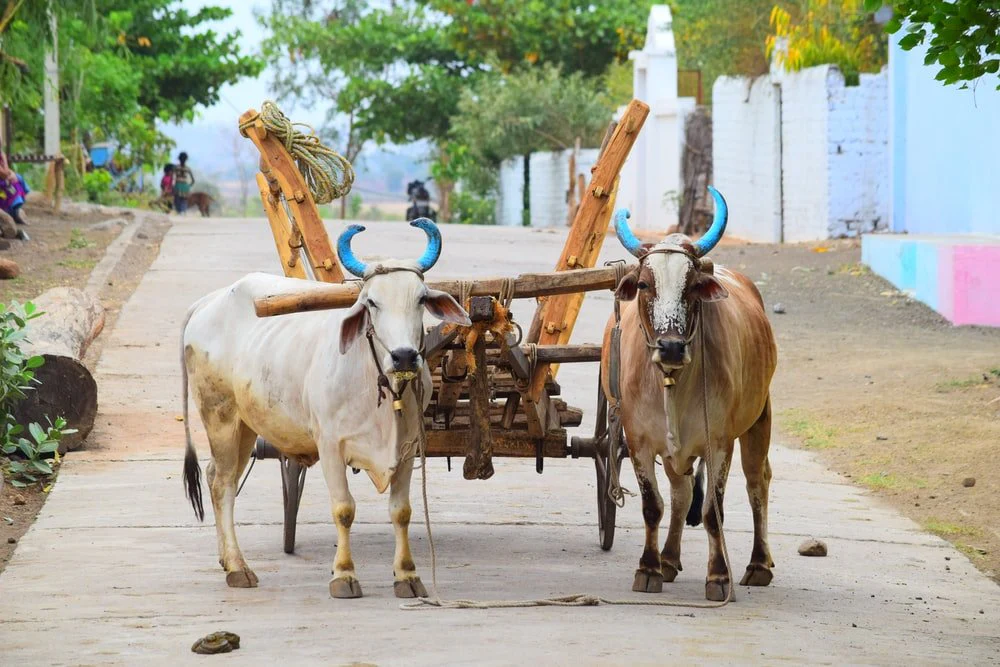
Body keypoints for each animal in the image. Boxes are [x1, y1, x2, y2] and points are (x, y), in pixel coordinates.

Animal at [181, 219, 470, 598]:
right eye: (371, 302)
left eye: (421, 298)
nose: (405, 356)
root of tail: (208, 302)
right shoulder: (330, 445)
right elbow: (344, 509)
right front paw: (344, 576)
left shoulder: (408, 448)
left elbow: (402, 511)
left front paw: (407, 576)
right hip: (220, 416)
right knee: (223, 484)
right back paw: (238, 567)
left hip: (246, 425)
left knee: (215, 473)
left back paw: (225, 560)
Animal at [601, 187, 777, 602]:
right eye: (645, 284)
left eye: (693, 285)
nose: (670, 347)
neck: (673, 383)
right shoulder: (639, 441)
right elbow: (654, 505)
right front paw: (648, 569)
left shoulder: (719, 442)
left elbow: (714, 511)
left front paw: (718, 577)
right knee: (681, 494)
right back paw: (668, 559)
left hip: (760, 416)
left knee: (757, 481)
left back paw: (758, 564)